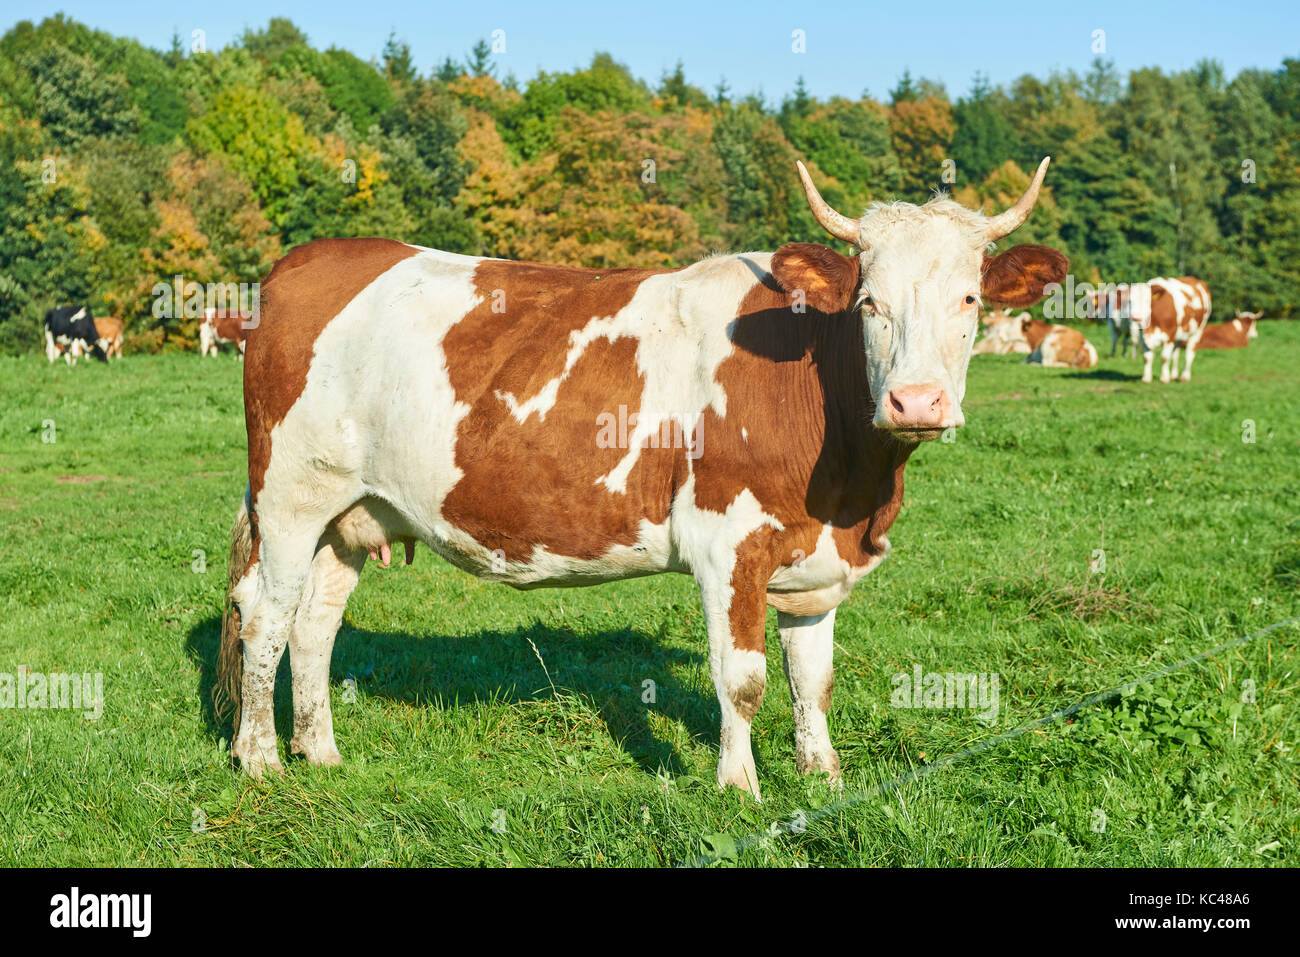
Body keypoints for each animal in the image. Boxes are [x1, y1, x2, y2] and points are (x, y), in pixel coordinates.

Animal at [213, 157, 1067, 795]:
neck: (852, 487)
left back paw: (321, 752)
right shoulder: (729, 546)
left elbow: (813, 679)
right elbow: (744, 677)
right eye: (868, 303)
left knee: (315, 625)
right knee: (266, 617)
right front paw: (738, 787)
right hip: (290, 497)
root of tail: (310, 259)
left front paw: (822, 777)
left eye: (970, 298)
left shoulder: (818, 558)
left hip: (350, 512)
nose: (916, 400)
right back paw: (259, 760)